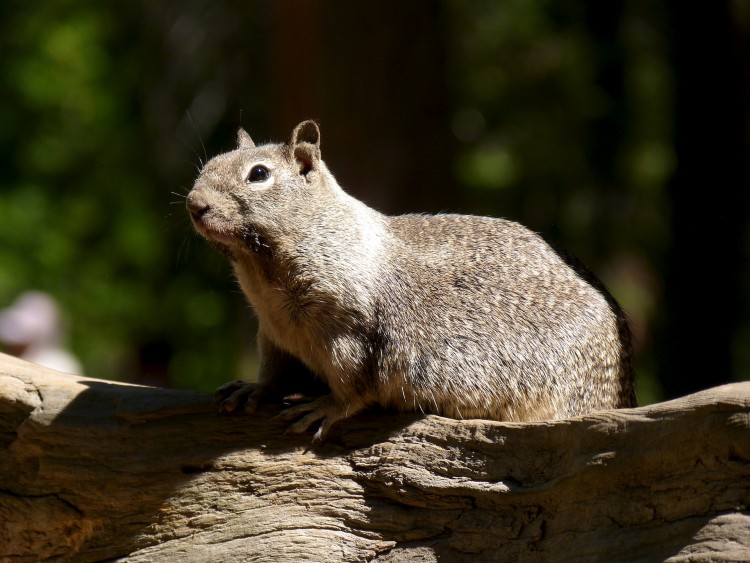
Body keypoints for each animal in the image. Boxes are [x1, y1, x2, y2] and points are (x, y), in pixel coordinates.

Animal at [185, 121, 636, 442]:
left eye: (258, 174)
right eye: (209, 164)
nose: (194, 203)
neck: (263, 274)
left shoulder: (349, 333)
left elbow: (354, 387)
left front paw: (324, 407)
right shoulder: (273, 333)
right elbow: (274, 371)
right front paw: (254, 388)